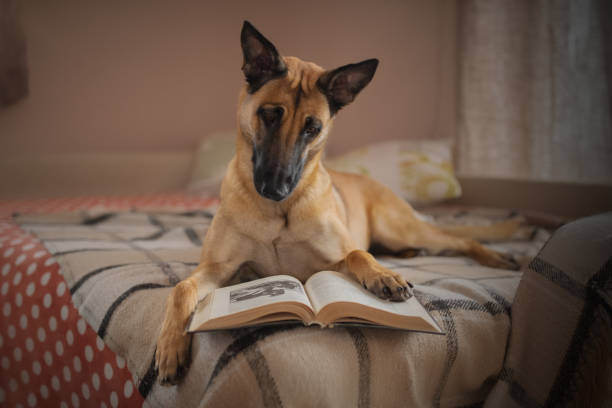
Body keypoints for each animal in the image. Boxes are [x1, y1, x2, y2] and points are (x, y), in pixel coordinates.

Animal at [155, 21, 520, 386]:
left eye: (312, 128)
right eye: (269, 115)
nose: (276, 188)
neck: (278, 212)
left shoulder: (335, 259)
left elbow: (358, 254)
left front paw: (383, 276)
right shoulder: (220, 268)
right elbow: (181, 289)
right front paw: (171, 345)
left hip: (401, 228)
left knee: (459, 239)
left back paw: (493, 257)